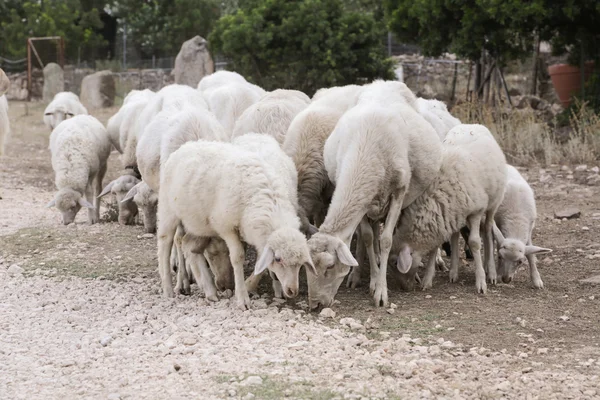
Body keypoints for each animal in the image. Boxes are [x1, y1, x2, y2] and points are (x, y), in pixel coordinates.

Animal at [157, 141, 316, 310]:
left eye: (300, 264)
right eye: (278, 259)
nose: (293, 291)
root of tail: (186, 146)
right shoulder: (227, 227)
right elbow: (238, 257)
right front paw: (242, 298)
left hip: (200, 223)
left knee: (188, 245)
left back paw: (209, 290)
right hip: (168, 210)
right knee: (165, 244)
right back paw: (168, 288)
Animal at [308, 79, 442, 308]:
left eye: (330, 266)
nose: (314, 304)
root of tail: (383, 81)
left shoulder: (399, 192)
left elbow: (387, 240)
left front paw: (381, 291)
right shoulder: (364, 202)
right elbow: (369, 237)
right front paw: (373, 280)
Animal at [396, 122, 508, 294]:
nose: (404, 287)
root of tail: (473, 124)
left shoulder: (476, 212)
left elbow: (475, 242)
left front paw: (481, 281)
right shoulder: (443, 214)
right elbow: (435, 246)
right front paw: (427, 279)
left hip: (493, 203)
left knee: (488, 230)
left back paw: (491, 271)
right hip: (456, 212)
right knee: (455, 235)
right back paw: (454, 272)